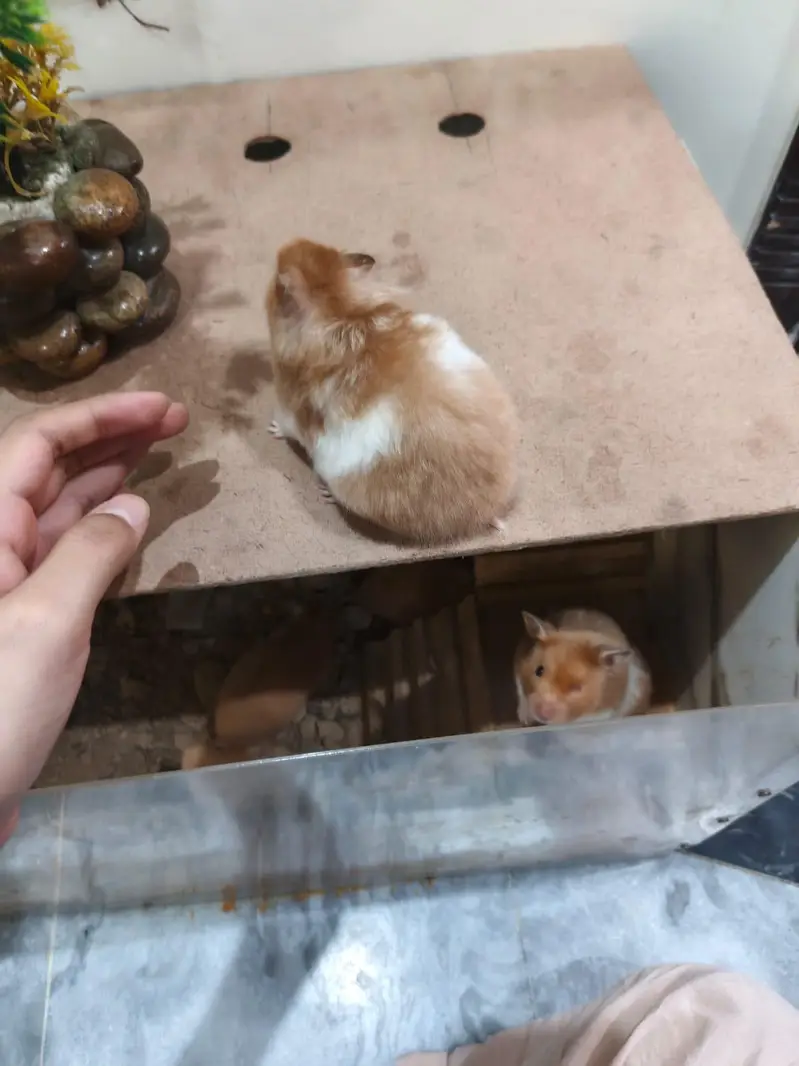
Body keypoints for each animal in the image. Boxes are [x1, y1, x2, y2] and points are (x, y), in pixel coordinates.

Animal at [265, 238, 518, 544]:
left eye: (276, 285)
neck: (338, 306)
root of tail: (485, 512)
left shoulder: (290, 405)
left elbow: (287, 426)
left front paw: (271, 428)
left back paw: (326, 493)